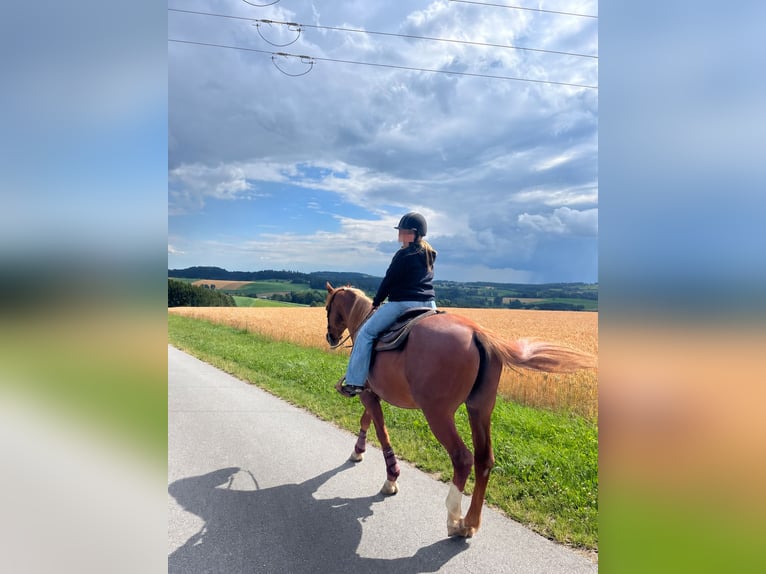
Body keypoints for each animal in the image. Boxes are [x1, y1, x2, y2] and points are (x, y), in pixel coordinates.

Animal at [324, 282, 596, 538]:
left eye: (328, 308)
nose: (330, 337)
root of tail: (478, 335)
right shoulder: (372, 394)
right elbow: (367, 421)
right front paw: (358, 452)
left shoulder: (368, 394)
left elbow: (381, 432)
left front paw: (391, 479)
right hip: (480, 409)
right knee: (484, 459)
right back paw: (470, 522)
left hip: (438, 414)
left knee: (462, 458)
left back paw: (454, 519)